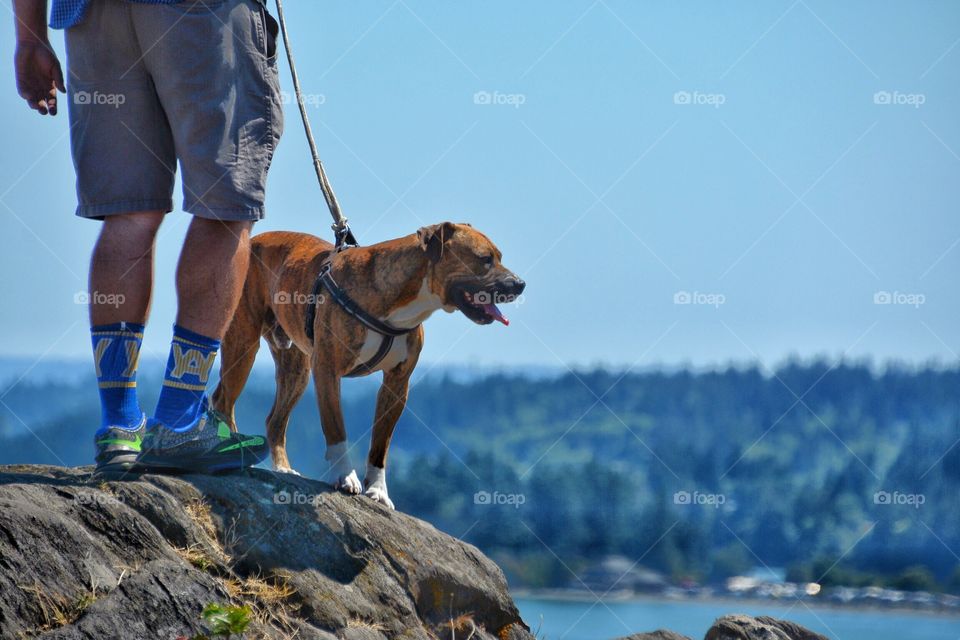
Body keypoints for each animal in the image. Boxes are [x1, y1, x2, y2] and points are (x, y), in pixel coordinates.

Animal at [211, 222, 524, 508]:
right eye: (485, 259)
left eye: (499, 256)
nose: (520, 284)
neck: (407, 299)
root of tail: (251, 241)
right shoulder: (327, 370)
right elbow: (336, 428)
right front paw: (345, 477)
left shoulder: (396, 384)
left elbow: (380, 444)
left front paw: (378, 490)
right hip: (243, 343)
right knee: (223, 400)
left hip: (296, 369)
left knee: (275, 419)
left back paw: (283, 468)